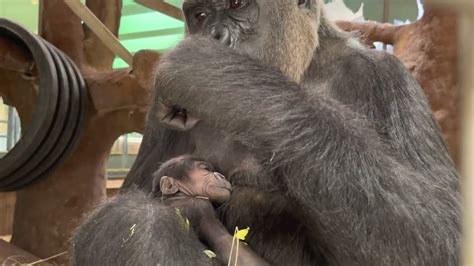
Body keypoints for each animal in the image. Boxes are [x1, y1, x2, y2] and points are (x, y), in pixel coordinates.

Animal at [74, 0, 460, 264]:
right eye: (200, 15)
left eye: (236, 4)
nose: (216, 37)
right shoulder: (159, 104)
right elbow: (137, 191)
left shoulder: (386, 78)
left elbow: (441, 232)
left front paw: (213, 72)